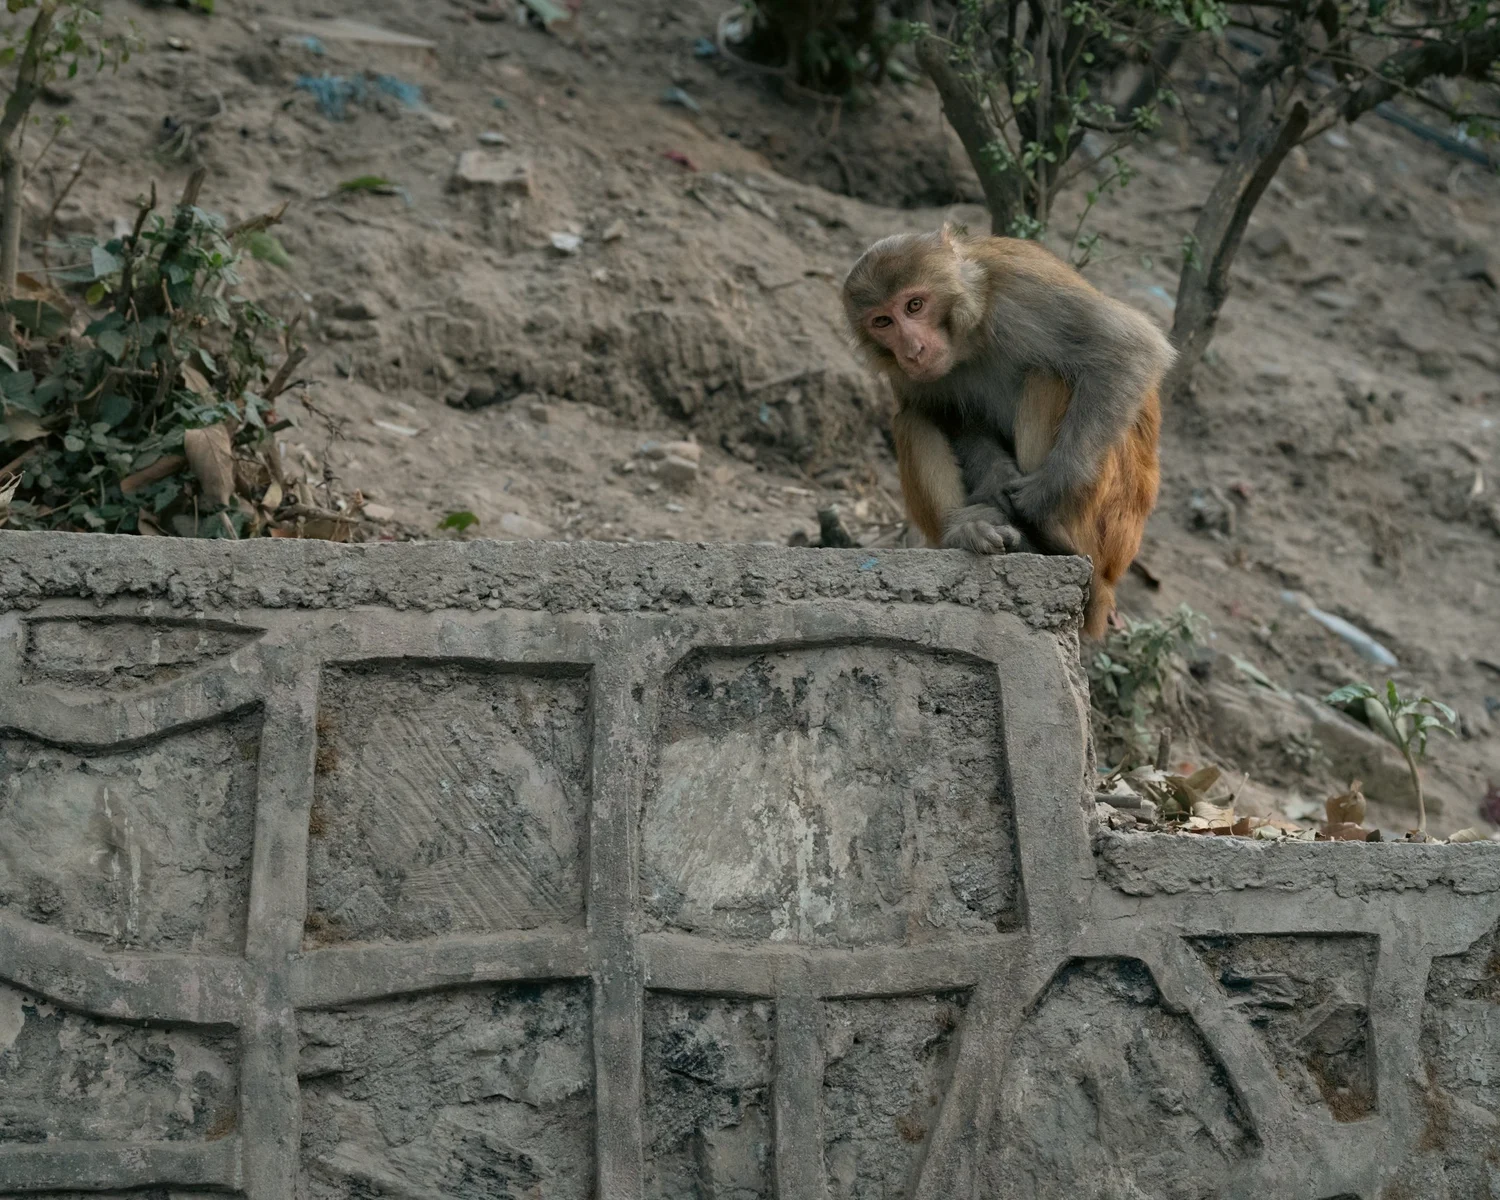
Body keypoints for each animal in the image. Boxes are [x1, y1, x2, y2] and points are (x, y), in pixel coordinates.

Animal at [842, 224, 1171, 638]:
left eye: (914, 305)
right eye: (882, 322)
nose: (913, 349)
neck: (970, 336)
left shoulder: (1024, 289)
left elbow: (1130, 348)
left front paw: (1053, 485)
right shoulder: (910, 375)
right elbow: (948, 415)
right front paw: (995, 479)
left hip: (1108, 525)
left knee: (1050, 376)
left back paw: (1049, 538)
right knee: (913, 418)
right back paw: (968, 530)